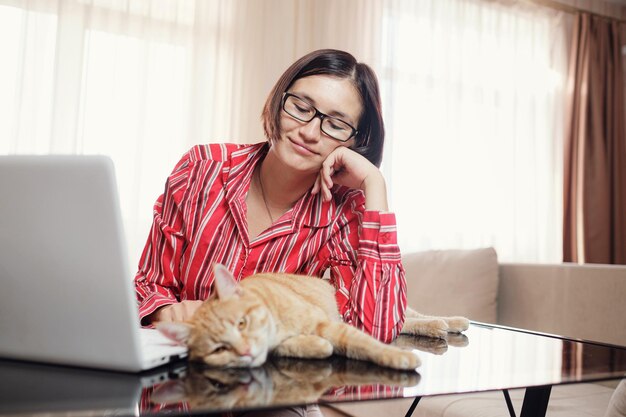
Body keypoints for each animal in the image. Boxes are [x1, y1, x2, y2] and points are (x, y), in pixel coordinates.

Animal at [158, 264, 466, 368]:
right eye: (219, 349)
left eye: (241, 324)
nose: (244, 351)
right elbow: (297, 347)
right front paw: (313, 345)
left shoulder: (331, 325)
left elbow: (366, 344)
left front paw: (396, 357)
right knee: (406, 323)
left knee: (413, 316)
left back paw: (451, 322)